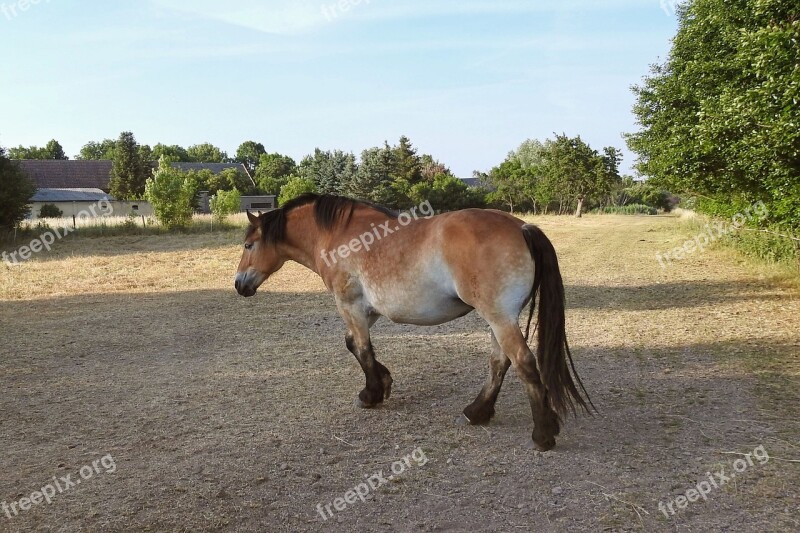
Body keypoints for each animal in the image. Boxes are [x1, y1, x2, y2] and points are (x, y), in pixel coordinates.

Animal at [234, 191, 592, 448]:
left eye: (249, 244)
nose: (239, 284)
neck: (340, 237)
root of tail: (521, 227)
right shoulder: (369, 310)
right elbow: (354, 345)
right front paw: (384, 382)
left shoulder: (350, 305)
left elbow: (362, 349)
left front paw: (371, 394)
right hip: (499, 320)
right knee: (499, 363)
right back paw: (477, 412)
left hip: (500, 318)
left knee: (523, 363)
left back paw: (542, 435)